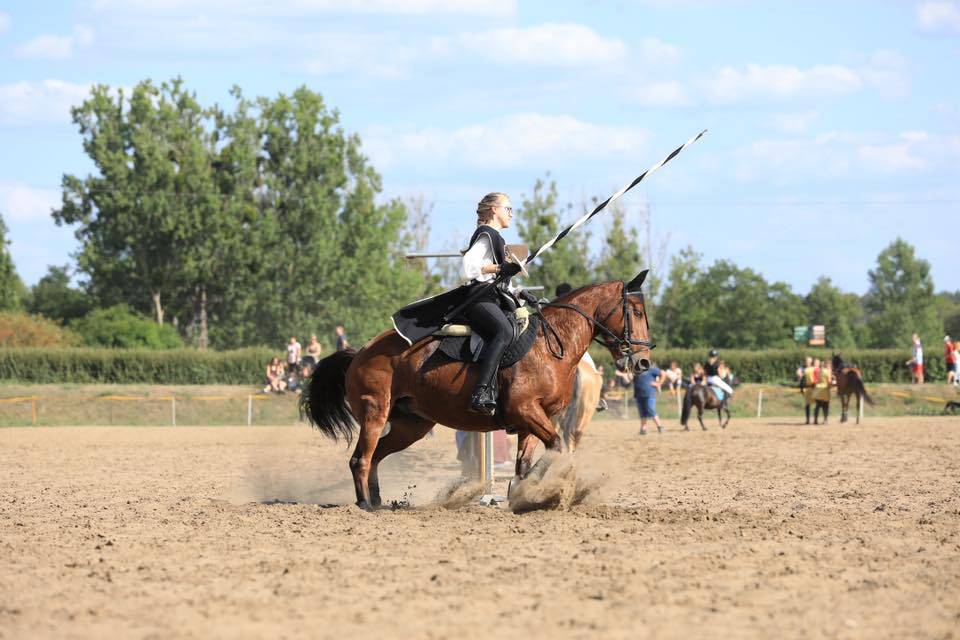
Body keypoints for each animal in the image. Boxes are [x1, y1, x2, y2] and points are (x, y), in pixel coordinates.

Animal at [304, 272, 656, 508]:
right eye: (637, 312)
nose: (643, 361)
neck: (550, 346)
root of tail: (359, 352)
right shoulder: (525, 411)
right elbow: (557, 448)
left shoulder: (532, 421)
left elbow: (531, 461)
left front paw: (521, 493)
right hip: (375, 413)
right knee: (360, 459)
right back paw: (364, 504)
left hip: (411, 425)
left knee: (375, 456)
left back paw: (377, 500)